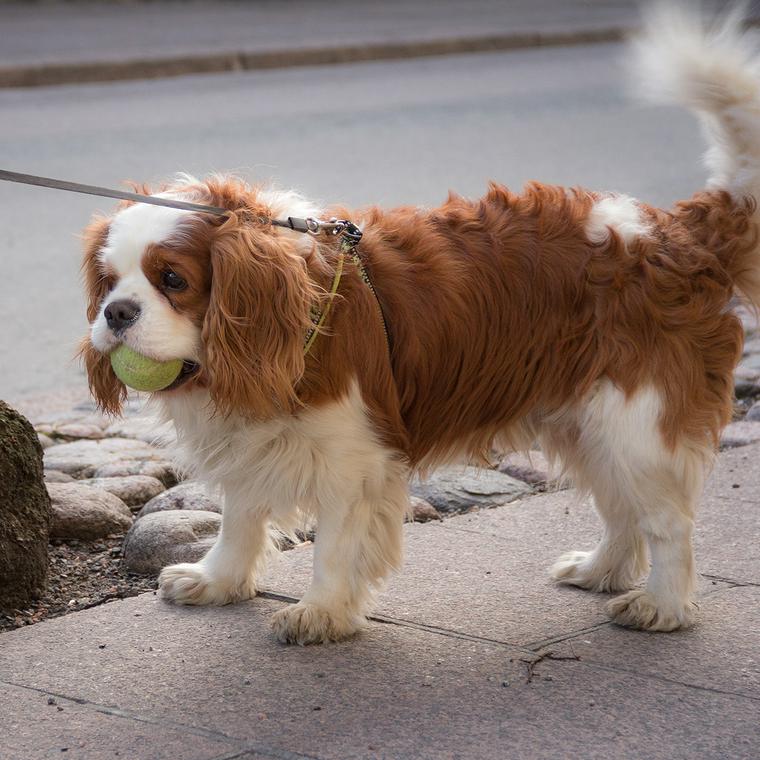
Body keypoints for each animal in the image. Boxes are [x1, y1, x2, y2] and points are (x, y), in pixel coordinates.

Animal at [81, 4, 760, 640]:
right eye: (108, 282)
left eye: (173, 280)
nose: (116, 313)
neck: (298, 310)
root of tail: (678, 232)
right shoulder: (254, 444)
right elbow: (240, 519)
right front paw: (218, 581)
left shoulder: (356, 458)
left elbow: (333, 545)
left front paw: (321, 612)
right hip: (586, 418)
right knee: (621, 508)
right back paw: (601, 571)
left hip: (637, 421)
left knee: (667, 522)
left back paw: (662, 605)